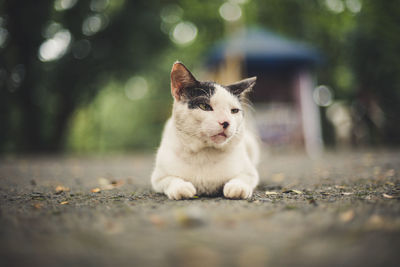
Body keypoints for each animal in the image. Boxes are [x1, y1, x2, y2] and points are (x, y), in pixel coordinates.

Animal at [151, 61, 260, 200]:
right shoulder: (158, 177)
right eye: (204, 106)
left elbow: (243, 177)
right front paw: (181, 187)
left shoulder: (250, 172)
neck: (205, 154)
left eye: (234, 110)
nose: (226, 122)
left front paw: (237, 187)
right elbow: (171, 179)